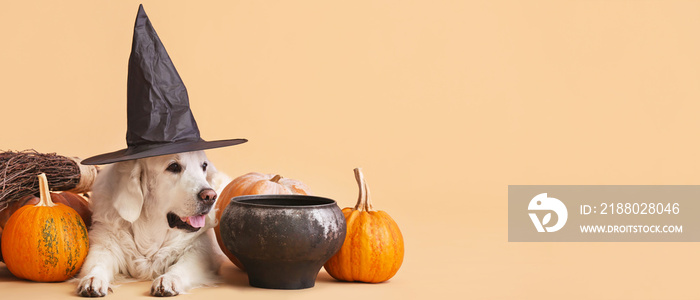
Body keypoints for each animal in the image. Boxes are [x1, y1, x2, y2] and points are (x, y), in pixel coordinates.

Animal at [76, 151, 230, 296]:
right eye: (174, 166)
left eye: (203, 166)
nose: (210, 196)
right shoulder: (105, 243)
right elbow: (97, 264)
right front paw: (93, 279)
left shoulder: (200, 248)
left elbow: (180, 267)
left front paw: (168, 280)